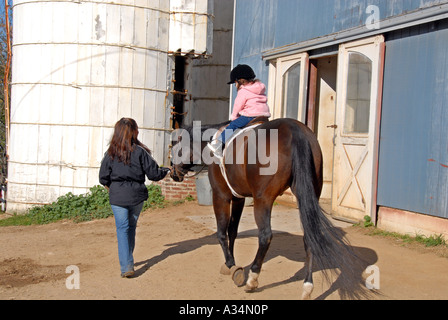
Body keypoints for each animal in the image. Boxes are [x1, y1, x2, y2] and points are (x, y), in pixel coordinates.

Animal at [170, 118, 362, 300]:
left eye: (173, 146)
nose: (173, 173)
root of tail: (295, 130)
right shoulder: (239, 198)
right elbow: (233, 231)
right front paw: (230, 263)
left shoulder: (221, 196)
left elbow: (222, 233)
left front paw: (231, 265)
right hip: (307, 195)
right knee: (309, 237)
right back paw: (307, 288)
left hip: (263, 199)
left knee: (265, 236)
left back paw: (252, 279)